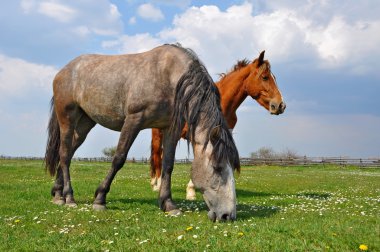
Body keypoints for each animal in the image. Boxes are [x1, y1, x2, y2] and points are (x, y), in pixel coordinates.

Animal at [149, 50, 284, 199]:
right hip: (158, 134)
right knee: (157, 155)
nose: (280, 105)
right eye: (265, 77)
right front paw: (191, 191)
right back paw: (158, 184)